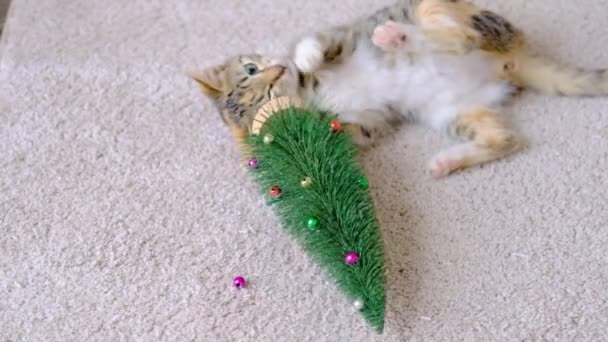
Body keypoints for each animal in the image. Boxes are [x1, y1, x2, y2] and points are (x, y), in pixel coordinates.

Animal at [195, 0, 608, 176]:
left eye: (252, 68)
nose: (279, 69)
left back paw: (394, 35)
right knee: (506, 139)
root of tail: (515, 57)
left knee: (462, 37)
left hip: (441, 9)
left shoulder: (340, 35)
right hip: (450, 110)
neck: (310, 95)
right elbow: (350, 130)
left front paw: (305, 59)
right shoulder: (369, 121)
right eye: (267, 100)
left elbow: (314, 42)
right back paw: (447, 161)